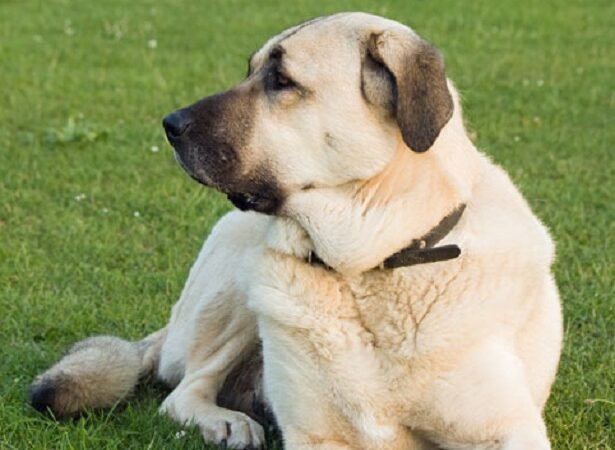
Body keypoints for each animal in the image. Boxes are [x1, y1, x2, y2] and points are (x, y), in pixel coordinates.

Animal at [32, 12, 564, 448]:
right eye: (250, 70)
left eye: (281, 80)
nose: (170, 124)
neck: (368, 268)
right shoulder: (318, 435)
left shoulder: (508, 429)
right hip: (238, 289)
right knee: (183, 390)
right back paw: (228, 423)